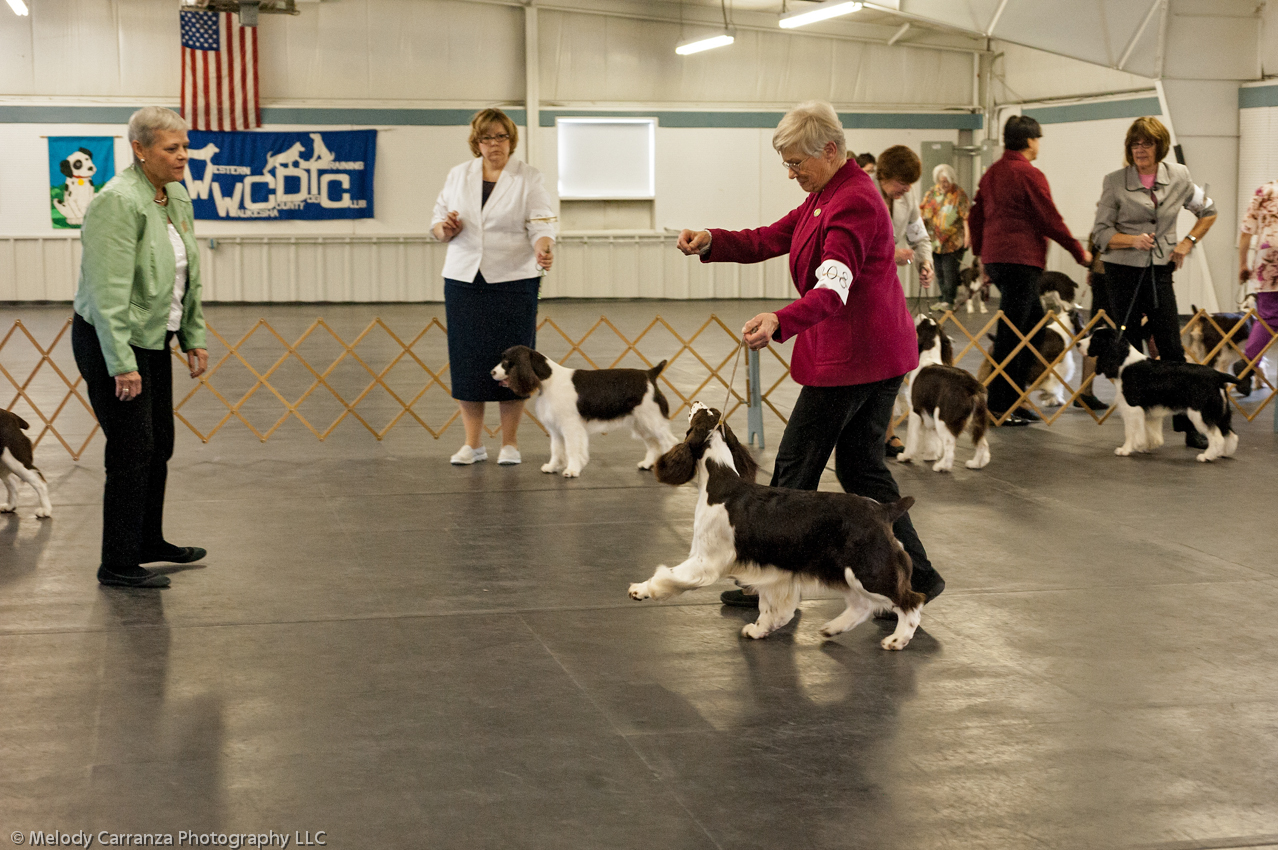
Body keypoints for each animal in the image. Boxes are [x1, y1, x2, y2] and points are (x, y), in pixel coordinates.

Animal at [485, 345, 679, 478]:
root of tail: (650, 374)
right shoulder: (555, 428)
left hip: (652, 419)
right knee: (653, 444)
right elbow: (556, 449)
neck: (549, 381)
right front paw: (552, 467)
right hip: (641, 422)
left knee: (669, 442)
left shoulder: (570, 426)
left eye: (507, 362)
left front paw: (571, 470)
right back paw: (647, 464)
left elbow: (571, 449)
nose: (492, 372)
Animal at [626, 403, 920, 649]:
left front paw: (640, 589)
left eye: (701, 413)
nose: (697, 401)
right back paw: (831, 629)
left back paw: (896, 640)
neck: (719, 481)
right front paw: (758, 630)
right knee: (862, 605)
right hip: (844, 571)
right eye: (711, 412)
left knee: (911, 602)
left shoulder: (706, 560)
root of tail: (883, 510)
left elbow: (667, 575)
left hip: (870, 570)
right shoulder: (772, 570)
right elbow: (771, 608)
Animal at [1078, 324, 1237, 460]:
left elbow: (1130, 431)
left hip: (1201, 413)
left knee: (1217, 437)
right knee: (1230, 434)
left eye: (1095, 339)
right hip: (1220, 412)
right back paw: (1223, 453)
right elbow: (1149, 430)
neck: (1123, 362)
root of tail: (1217, 374)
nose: (1078, 343)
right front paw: (1146, 446)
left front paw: (1125, 450)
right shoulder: (1150, 410)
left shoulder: (1131, 407)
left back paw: (1207, 456)